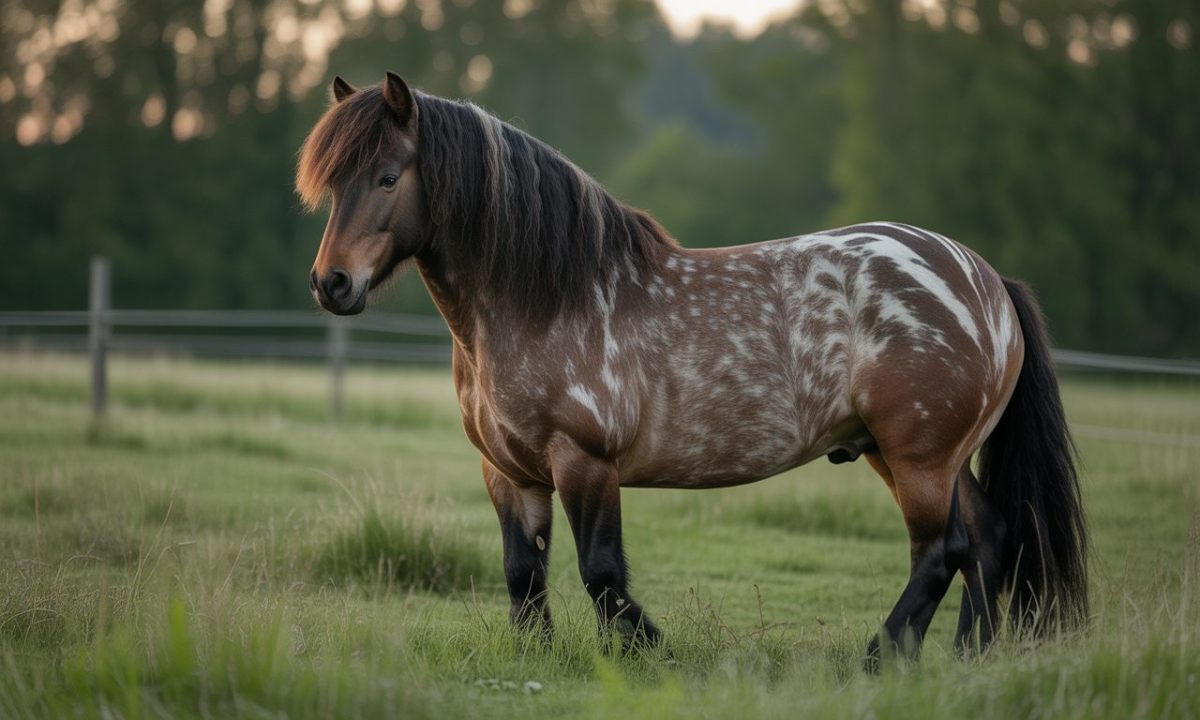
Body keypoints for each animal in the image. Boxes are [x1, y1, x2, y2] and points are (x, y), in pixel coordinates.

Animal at [296, 73, 1088, 668]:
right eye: (333, 184)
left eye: (388, 176)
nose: (331, 283)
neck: (547, 298)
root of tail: (984, 279)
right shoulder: (509, 472)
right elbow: (524, 573)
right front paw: (539, 656)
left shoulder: (584, 462)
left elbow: (600, 572)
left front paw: (650, 651)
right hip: (915, 456)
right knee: (988, 537)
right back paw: (966, 658)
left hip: (919, 457)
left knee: (940, 551)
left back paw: (880, 656)